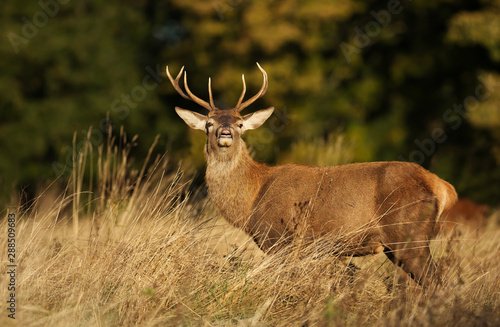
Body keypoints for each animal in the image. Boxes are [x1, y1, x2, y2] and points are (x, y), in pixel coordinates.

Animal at [167, 62, 458, 288]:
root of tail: (443, 187)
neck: (252, 199)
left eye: (239, 123)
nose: (225, 132)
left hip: (409, 234)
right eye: (209, 123)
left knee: (437, 283)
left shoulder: (281, 240)